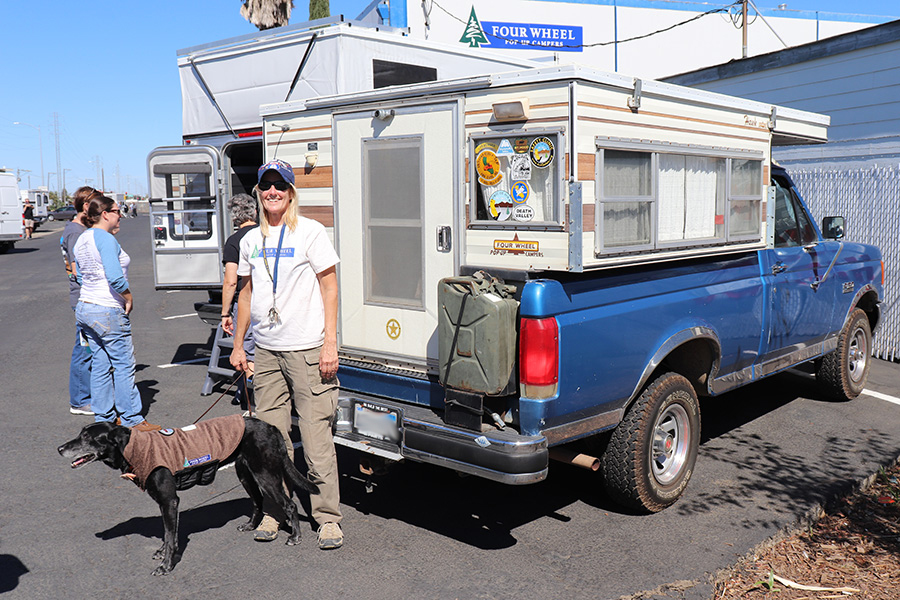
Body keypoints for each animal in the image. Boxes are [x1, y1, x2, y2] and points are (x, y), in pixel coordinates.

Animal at [58, 418, 318, 576]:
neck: (133, 447)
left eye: (87, 437)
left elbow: (170, 535)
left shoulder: (169, 501)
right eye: (80, 434)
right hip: (245, 473)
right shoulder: (165, 504)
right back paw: (251, 525)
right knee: (257, 501)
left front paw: (166, 566)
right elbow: (167, 534)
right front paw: (163, 553)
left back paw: (295, 536)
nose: (60, 449)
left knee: (290, 505)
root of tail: (271, 427)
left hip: (266, 475)